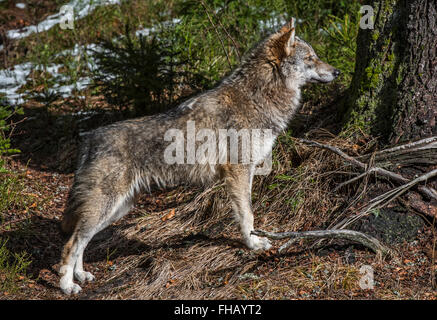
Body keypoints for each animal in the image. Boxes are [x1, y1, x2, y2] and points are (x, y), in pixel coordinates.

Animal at [58, 16, 338, 292]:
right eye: (310, 58)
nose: (337, 71)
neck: (257, 97)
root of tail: (89, 138)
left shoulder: (243, 173)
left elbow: (247, 212)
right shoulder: (238, 171)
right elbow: (247, 214)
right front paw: (253, 244)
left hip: (117, 209)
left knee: (82, 241)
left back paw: (81, 275)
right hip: (107, 207)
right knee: (72, 243)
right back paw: (67, 285)